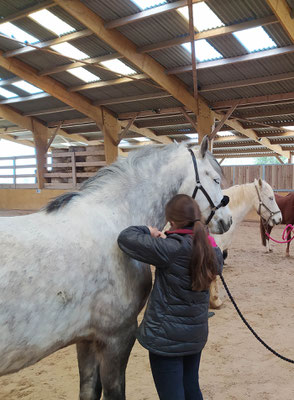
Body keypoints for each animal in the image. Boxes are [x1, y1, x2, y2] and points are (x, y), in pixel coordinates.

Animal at [0, 138, 232, 400]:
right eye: (215, 179)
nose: (227, 220)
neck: (114, 219)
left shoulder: (87, 338)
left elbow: (89, 389)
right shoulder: (116, 336)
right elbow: (114, 390)